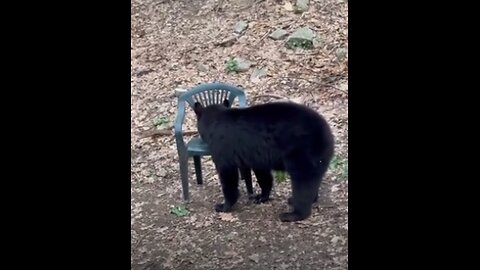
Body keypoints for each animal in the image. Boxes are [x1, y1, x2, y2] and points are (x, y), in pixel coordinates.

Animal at [193, 99, 336, 221]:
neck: (215, 121)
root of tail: (327, 133)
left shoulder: (223, 148)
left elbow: (228, 175)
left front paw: (223, 205)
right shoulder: (257, 154)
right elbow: (263, 174)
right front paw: (261, 197)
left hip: (302, 153)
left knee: (303, 182)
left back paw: (293, 214)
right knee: (312, 180)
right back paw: (304, 199)